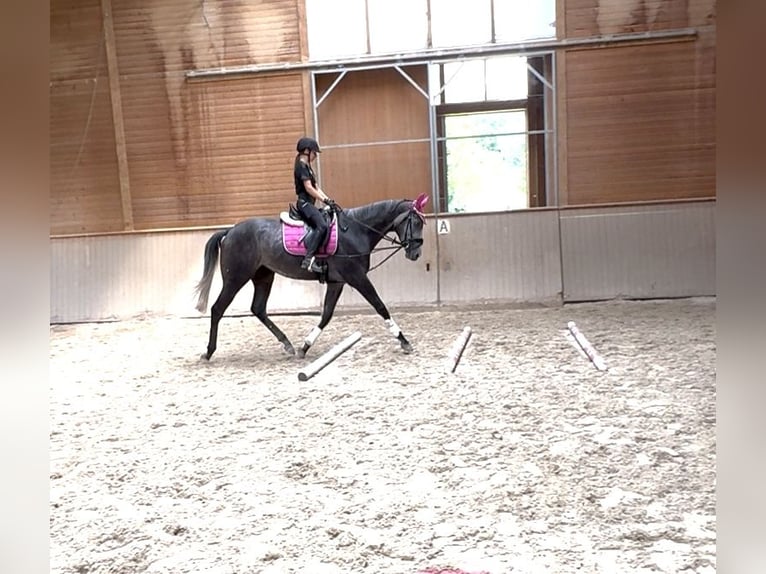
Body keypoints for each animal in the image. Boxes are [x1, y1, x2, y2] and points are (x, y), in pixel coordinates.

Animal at [194, 193, 429, 360]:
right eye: (415, 222)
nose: (416, 253)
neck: (355, 230)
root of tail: (230, 231)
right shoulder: (357, 277)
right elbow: (380, 306)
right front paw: (404, 341)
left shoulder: (337, 282)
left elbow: (326, 315)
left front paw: (304, 347)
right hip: (235, 278)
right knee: (217, 309)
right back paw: (209, 352)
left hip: (263, 276)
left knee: (258, 308)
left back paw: (287, 344)